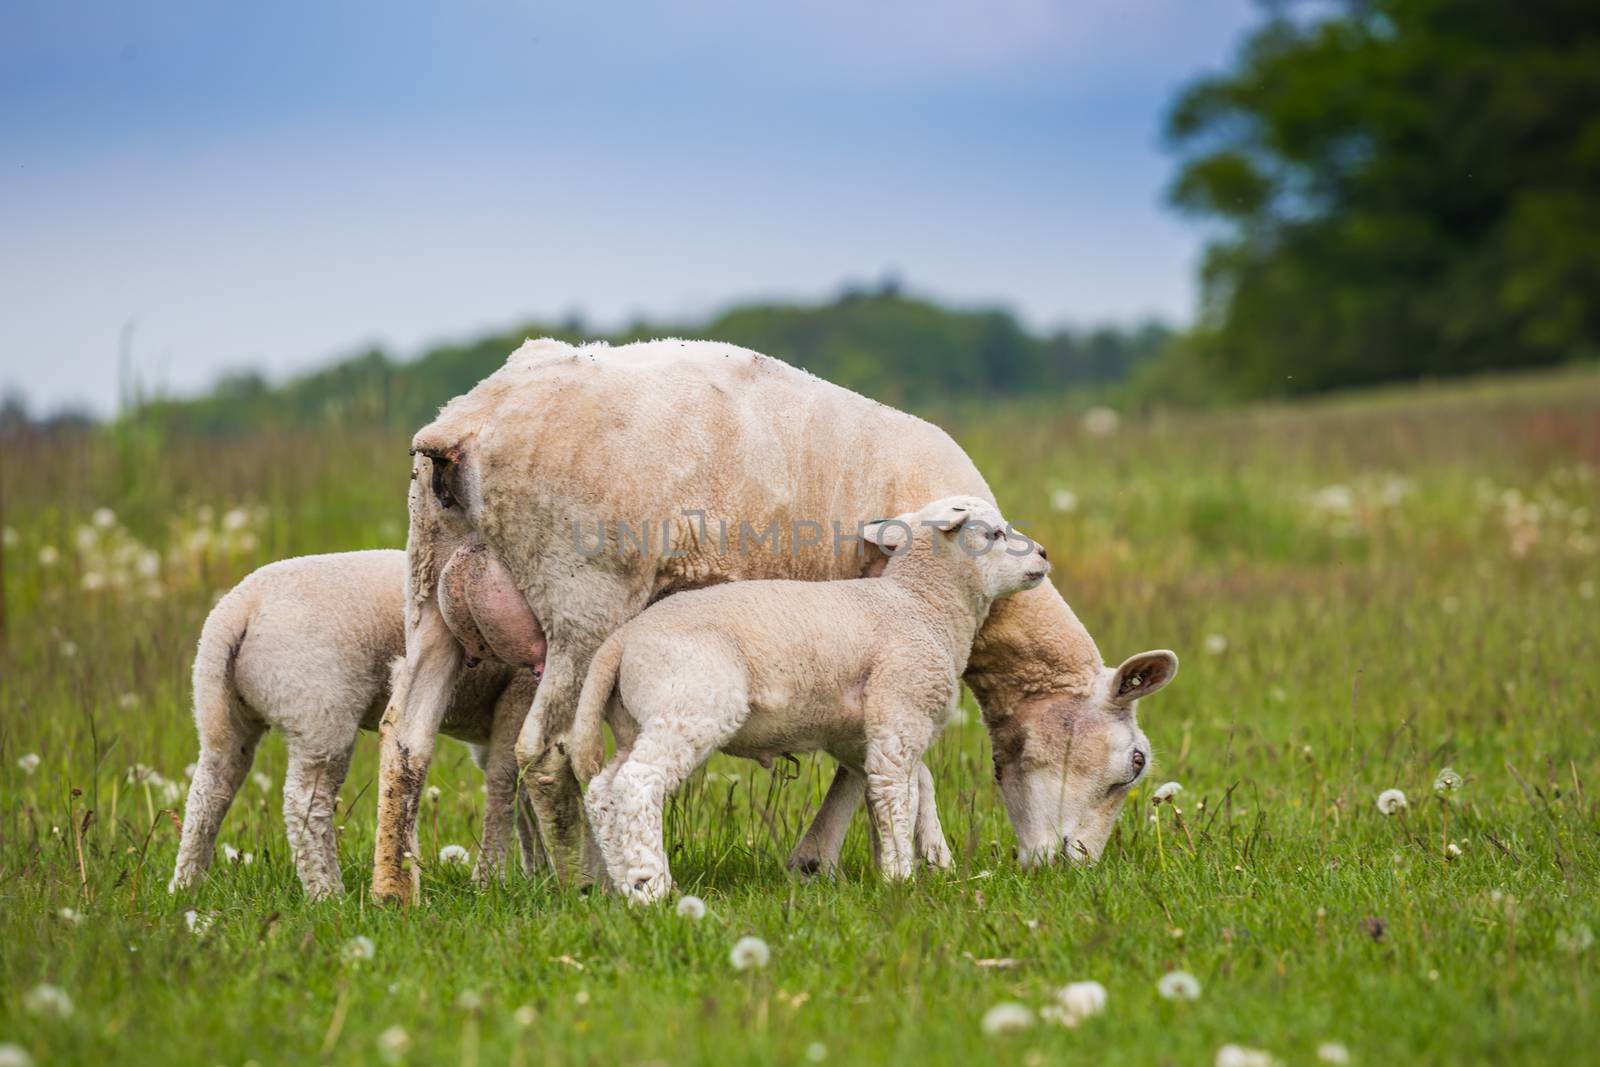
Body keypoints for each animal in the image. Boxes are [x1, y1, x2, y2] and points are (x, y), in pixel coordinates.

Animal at [168, 550, 540, 902]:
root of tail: (238, 611)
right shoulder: (520, 694)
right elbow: (507, 782)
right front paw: (493, 881)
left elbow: (525, 794)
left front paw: (539, 872)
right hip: (321, 711)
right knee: (306, 803)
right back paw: (327, 892)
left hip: (221, 710)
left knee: (209, 793)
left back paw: (187, 885)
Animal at [572, 495, 1049, 908]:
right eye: (994, 533)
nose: (1043, 555)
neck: (922, 604)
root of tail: (621, 640)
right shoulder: (900, 704)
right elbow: (897, 792)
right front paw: (899, 876)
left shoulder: (863, 730)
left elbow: (918, 781)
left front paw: (935, 856)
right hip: (688, 703)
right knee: (637, 783)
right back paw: (651, 887)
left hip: (637, 720)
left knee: (602, 790)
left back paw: (624, 881)